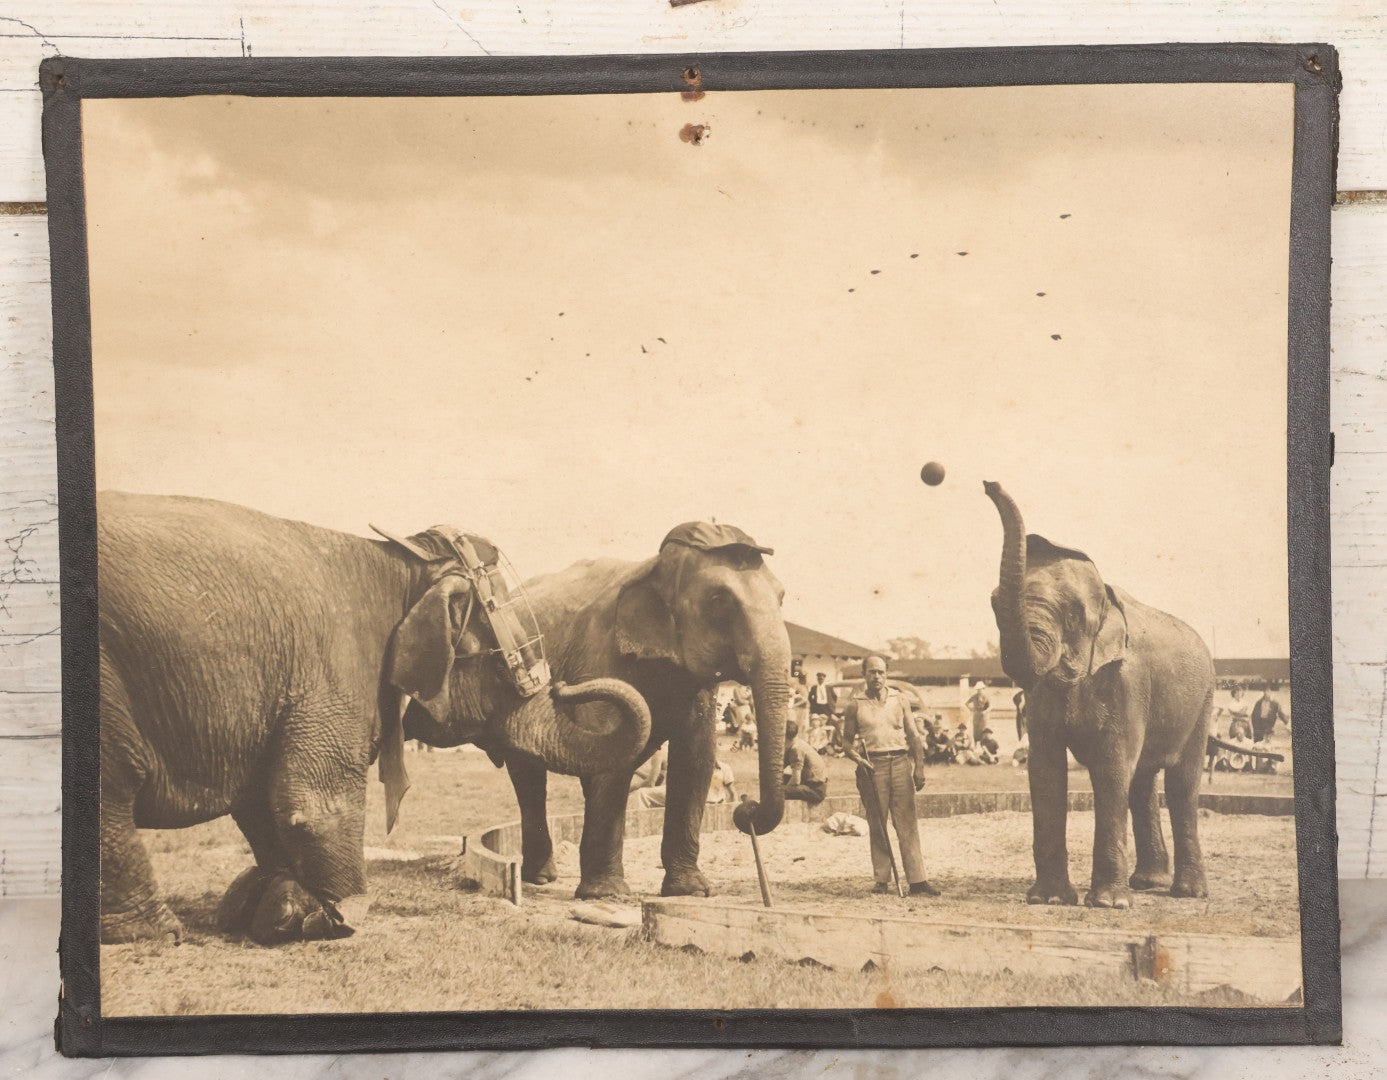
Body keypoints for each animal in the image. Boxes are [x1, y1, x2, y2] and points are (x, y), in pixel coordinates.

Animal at [97, 492, 650, 945]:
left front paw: (270, 903)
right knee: (113, 788)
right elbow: (310, 802)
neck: (402, 563)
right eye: (507, 663)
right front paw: (333, 913)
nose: (563, 684)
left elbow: (259, 801)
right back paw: (155, 932)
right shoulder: (332, 667)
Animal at [500, 520, 793, 899]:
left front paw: (690, 891)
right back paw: (540, 878)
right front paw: (605, 894)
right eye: (719, 600)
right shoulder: (601, 654)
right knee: (528, 775)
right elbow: (614, 755)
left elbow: (695, 760)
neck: (654, 567)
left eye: (782, 597)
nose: (747, 808)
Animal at [983, 482, 1215, 909]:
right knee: (1142, 782)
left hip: (1203, 701)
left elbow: (1111, 767)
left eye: (1074, 613)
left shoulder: (1127, 682)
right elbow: (1044, 768)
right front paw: (1049, 900)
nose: (989, 483)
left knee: (1181, 785)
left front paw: (1108, 903)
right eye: (993, 602)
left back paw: (1186, 893)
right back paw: (1147, 883)